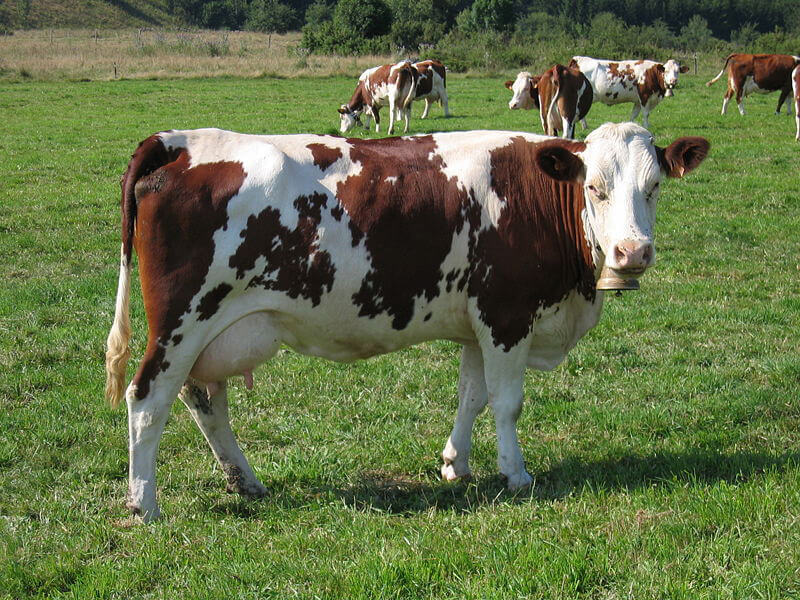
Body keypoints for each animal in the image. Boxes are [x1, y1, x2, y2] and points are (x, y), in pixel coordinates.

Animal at [104, 122, 708, 520]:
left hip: (213, 331)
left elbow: (472, 395)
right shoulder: (506, 315)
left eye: (654, 187)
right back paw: (145, 503)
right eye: (594, 187)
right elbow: (507, 402)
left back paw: (245, 481)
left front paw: (455, 465)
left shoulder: (477, 321)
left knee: (204, 399)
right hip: (184, 319)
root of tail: (179, 141)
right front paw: (515, 474)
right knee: (147, 399)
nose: (633, 252)